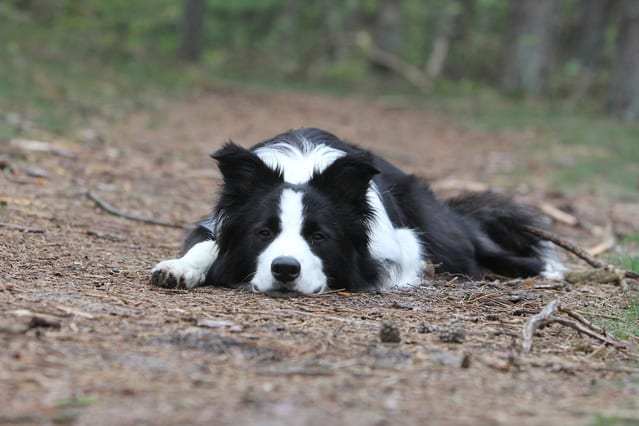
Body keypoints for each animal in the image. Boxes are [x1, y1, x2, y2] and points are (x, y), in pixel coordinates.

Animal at [149, 126, 560, 296]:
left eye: (319, 236)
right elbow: (207, 245)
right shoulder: (215, 224)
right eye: (263, 233)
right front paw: (179, 268)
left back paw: (550, 270)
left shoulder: (402, 243)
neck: (301, 169)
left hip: (440, 233)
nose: (285, 270)